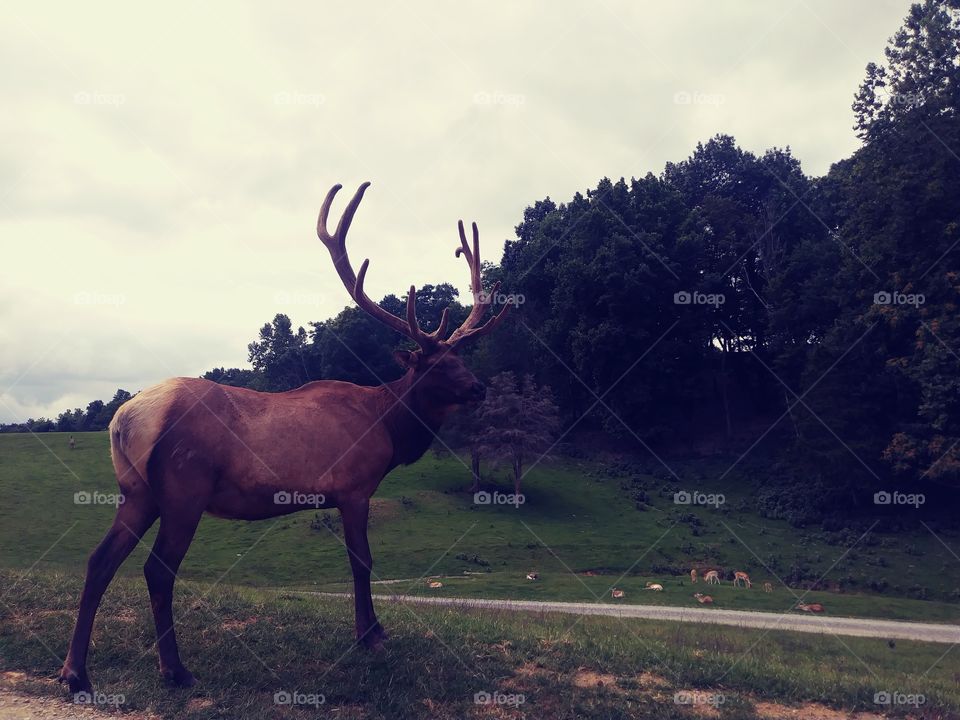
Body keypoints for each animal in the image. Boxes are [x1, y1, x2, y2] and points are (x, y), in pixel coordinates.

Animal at [58, 182, 512, 695]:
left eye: (461, 358)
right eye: (435, 364)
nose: (479, 387)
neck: (389, 427)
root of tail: (123, 419)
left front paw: (372, 632)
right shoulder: (354, 486)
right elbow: (362, 560)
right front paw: (371, 635)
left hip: (137, 491)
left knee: (100, 560)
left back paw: (75, 672)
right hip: (183, 487)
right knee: (157, 568)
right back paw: (174, 670)